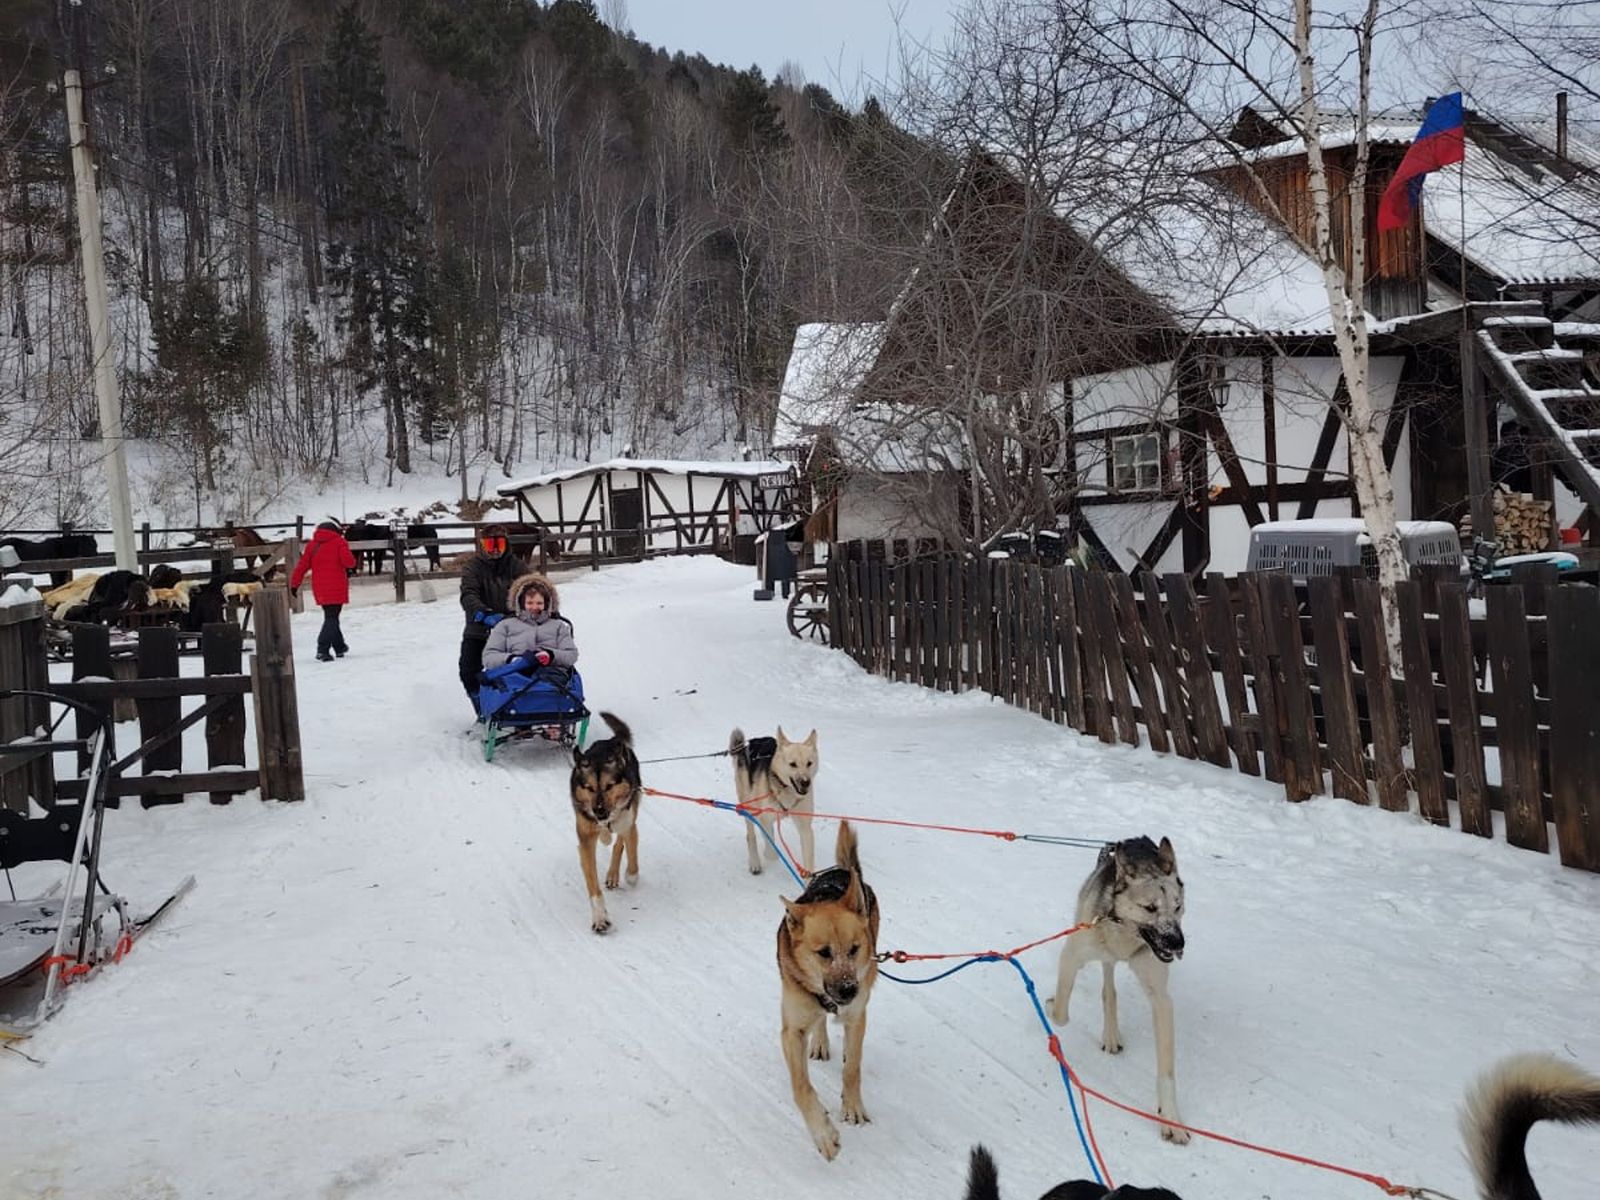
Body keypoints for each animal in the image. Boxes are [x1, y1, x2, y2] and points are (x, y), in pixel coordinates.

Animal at [569, 713, 643, 940]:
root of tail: (611, 741)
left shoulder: (629, 824)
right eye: (589, 788)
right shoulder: (585, 840)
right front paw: (600, 919)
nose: (599, 812)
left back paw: (614, 873)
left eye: (610, 786)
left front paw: (631, 875)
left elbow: (630, 853)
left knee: (620, 843)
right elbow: (593, 887)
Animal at [732, 729, 819, 876]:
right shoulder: (763, 817)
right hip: (749, 805)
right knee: (751, 836)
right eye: (793, 764)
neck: (786, 790)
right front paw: (769, 853)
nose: (806, 782)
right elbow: (771, 850)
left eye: (809, 763)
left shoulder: (805, 828)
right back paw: (755, 863)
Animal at [774, 825, 876, 1158]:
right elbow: (801, 1087)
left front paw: (852, 1106)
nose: (848, 990)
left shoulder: (857, 1014)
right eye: (823, 953)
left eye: (854, 949)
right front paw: (823, 1134)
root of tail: (844, 871)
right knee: (819, 1022)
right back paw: (820, 1040)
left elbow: (853, 1069)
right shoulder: (792, 1030)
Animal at [1049, 838, 1190, 1145]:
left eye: (1177, 907)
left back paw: (1111, 1033)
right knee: (1107, 984)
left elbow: (1167, 1071)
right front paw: (1051, 1003)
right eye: (1150, 908)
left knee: (1109, 987)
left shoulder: (1161, 1000)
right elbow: (1060, 1014)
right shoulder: (1071, 956)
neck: (1129, 936)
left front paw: (1171, 1118)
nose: (1177, 943)